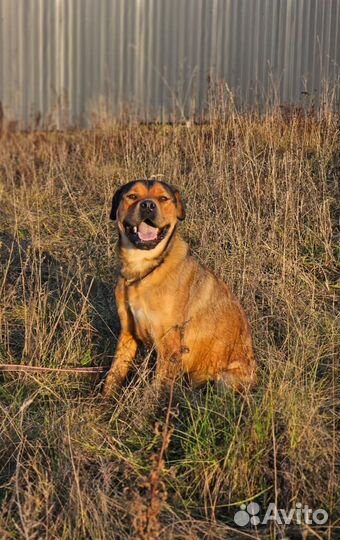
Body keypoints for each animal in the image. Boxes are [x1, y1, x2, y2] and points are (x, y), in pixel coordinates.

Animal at [102, 179, 256, 394]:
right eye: (132, 196)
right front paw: (104, 401)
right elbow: (113, 376)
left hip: (225, 380)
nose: (148, 205)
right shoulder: (127, 334)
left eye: (163, 198)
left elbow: (155, 391)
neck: (143, 268)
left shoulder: (169, 347)